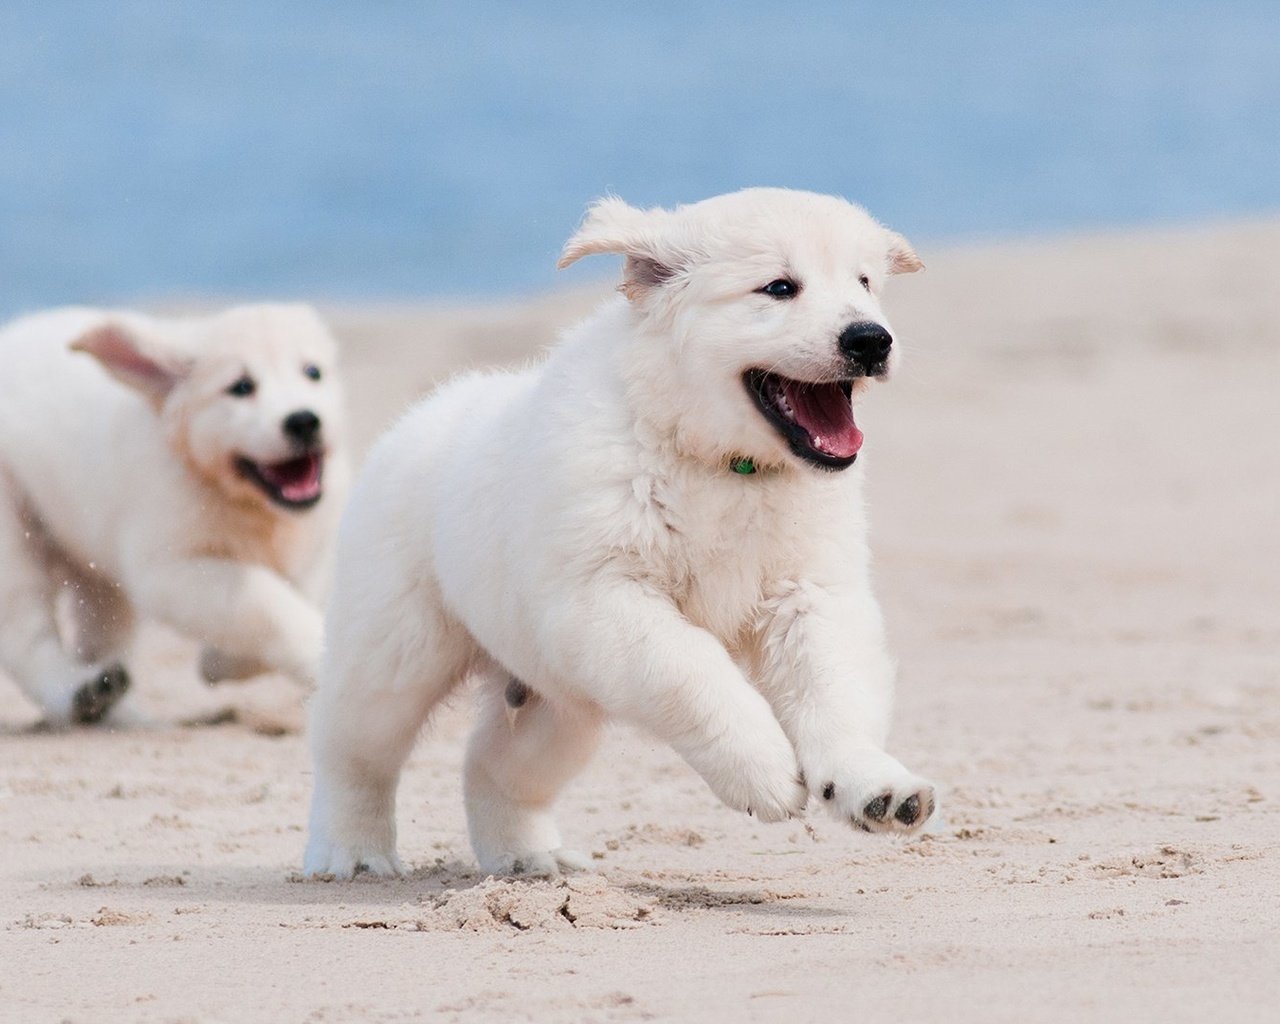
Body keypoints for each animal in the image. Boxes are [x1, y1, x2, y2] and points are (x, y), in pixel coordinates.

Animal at [0, 299, 350, 721]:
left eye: (313, 372)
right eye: (241, 387)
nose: (304, 420)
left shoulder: (317, 544)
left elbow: (300, 593)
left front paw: (221, 664)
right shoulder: (169, 567)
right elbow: (267, 602)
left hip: (93, 556)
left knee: (101, 626)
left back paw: (113, 705)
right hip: (13, 528)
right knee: (24, 629)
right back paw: (76, 691)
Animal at [304, 192, 936, 880]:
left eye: (865, 283)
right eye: (778, 287)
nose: (872, 339)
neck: (721, 465)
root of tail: (418, 417)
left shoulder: (811, 592)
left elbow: (834, 685)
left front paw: (874, 786)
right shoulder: (603, 597)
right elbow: (693, 669)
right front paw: (763, 771)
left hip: (557, 699)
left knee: (494, 765)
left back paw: (530, 859)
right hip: (396, 649)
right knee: (352, 748)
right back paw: (352, 853)